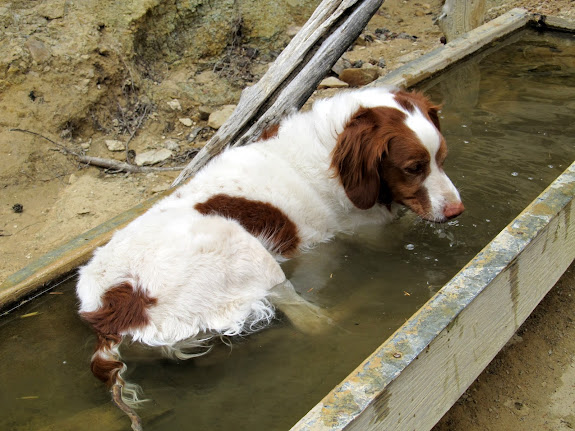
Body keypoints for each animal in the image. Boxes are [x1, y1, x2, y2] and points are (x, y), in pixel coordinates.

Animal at [75, 87, 464, 428]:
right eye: (413, 167)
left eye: (441, 159)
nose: (457, 211)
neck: (328, 147)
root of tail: (110, 310)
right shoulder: (369, 232)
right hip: (244, 249)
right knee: (314, 323)